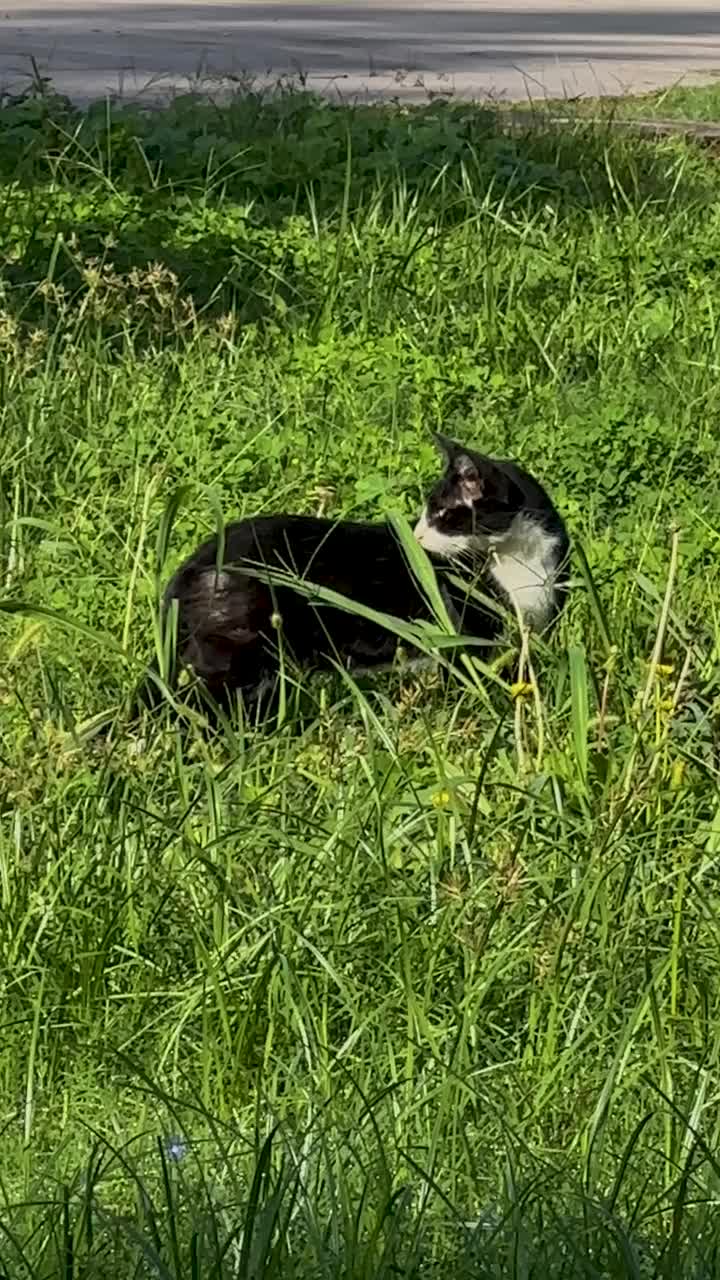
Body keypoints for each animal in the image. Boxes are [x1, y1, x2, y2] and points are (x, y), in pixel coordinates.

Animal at [128, 435, 566, 721]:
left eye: (442, 515)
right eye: (426, 513)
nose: (416, 536)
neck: (517, 560)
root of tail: (194, 561)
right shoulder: (466, 638)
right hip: (238, 653)